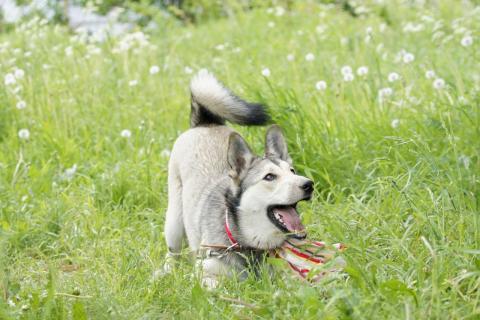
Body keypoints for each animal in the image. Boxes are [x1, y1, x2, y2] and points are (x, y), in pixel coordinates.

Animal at [164, 69, 316, 284]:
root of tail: (206, 122)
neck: (251, 246)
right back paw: (165, 272)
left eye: (292, 171)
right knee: (172, 252)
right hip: (174, 223)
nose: (309, 184)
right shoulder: (203, 270)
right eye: (269, 177)